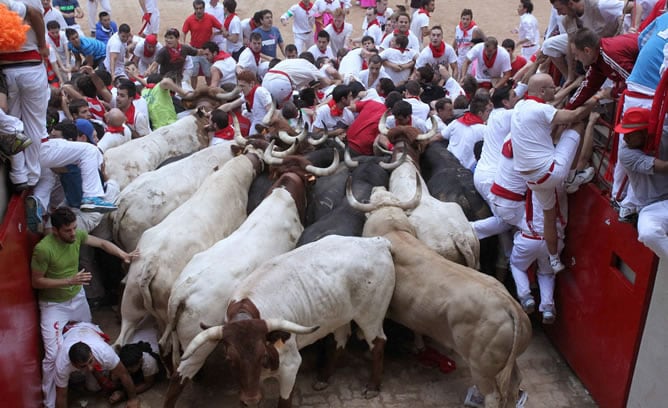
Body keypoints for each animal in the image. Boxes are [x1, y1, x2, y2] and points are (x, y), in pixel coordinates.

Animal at [177, 236, 396, 408]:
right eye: (230, 359)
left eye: (262, 355)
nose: (251, 399)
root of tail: (376, 242)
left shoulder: (290, 365)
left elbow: (284, 401)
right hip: (339, 313)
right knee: (341, 339)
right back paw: (324, 378)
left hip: (371, 314)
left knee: (378, 342)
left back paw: (372, 387)